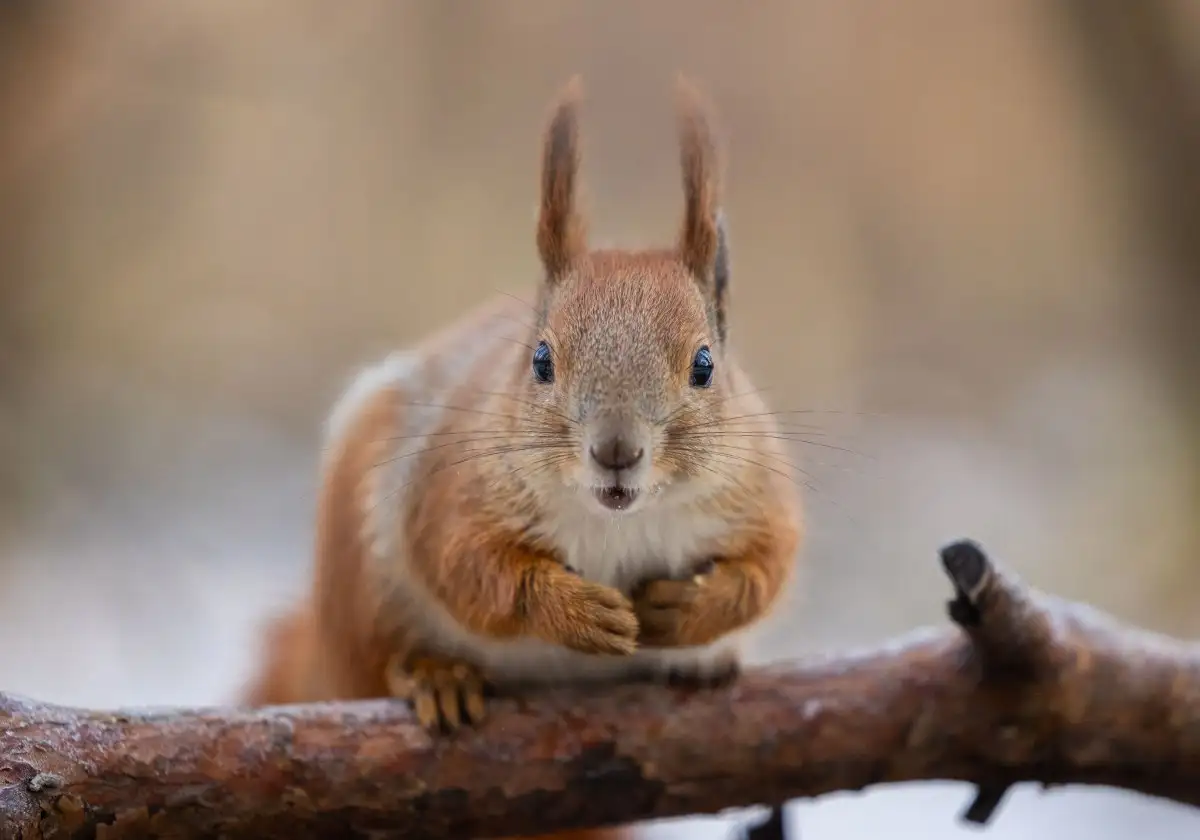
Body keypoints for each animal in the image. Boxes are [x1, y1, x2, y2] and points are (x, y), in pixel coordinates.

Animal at [241, 75, 806, 835]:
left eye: (705, 365)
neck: (618, 520)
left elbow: (766, 568)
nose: (616, 451)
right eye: (540, 360)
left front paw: (686, 610)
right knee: (379, 653)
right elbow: (466, 564)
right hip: (357, 581)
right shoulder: (449, 488)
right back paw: (433, 674)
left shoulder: (760, 494)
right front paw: (575, 610)